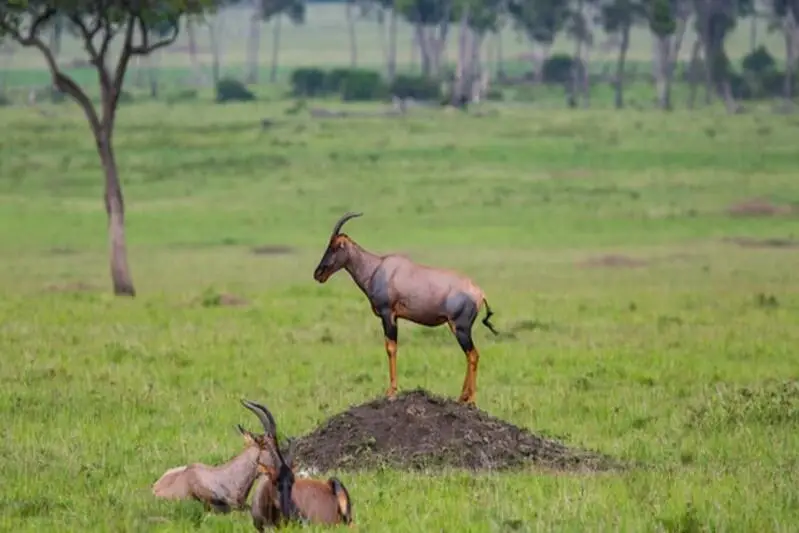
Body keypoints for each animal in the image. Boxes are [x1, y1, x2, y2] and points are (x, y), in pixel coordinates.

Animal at [312, 212, 499, 405]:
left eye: (335, 246)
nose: (318, 274)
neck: (377, 268)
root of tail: (479, 293)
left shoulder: (388, 315)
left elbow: (391, 348)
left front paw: (391, 391)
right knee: (471, 355)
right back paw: (462, 397)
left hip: (460, 327)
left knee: (473, 355)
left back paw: (470, 400)